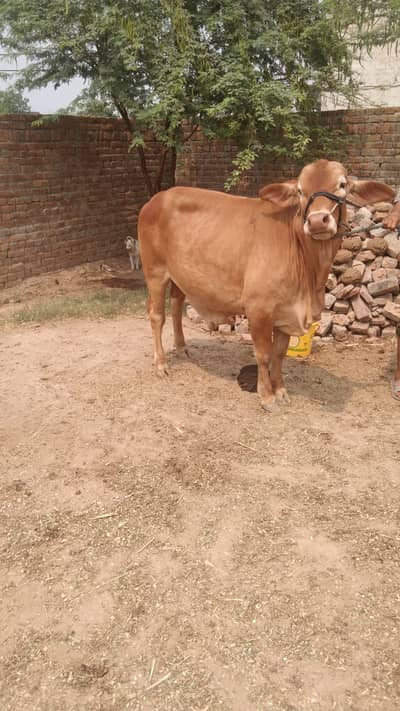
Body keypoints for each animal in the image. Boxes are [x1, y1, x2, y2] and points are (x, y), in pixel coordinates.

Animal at [138, 160, 394, 411]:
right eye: (300, 190)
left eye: (341, 184)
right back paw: (161, 364)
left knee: (176, 306)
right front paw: (267, 396)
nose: (317, 221)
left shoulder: (286, 313)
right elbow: (263, 354)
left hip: (180, 276)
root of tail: (158, 198)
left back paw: (181, 348)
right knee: (157, 316)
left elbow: (279, 354)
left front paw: (280, 390)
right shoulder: (259, 309)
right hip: (155, 272)